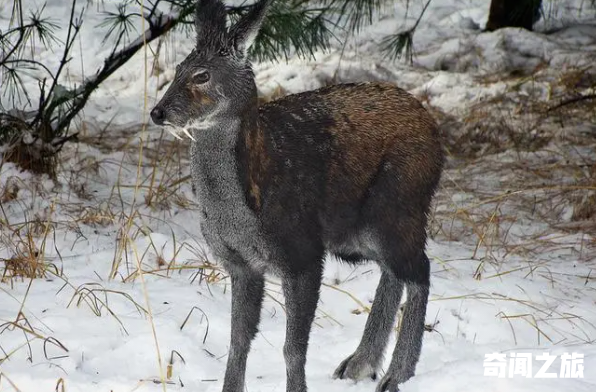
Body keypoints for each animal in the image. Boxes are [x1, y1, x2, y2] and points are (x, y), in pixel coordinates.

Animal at [150, 1, 442, 390]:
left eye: (202, 76)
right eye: (178, 69)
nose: (158, 112)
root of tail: (435, 131)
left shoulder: (303, 254)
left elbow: (293, 347)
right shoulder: (240, 264)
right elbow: (238, 341)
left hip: (398, 204)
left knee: (419, 269)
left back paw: (396, 374)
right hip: (354, 233)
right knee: (394, 270)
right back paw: (360, 363)